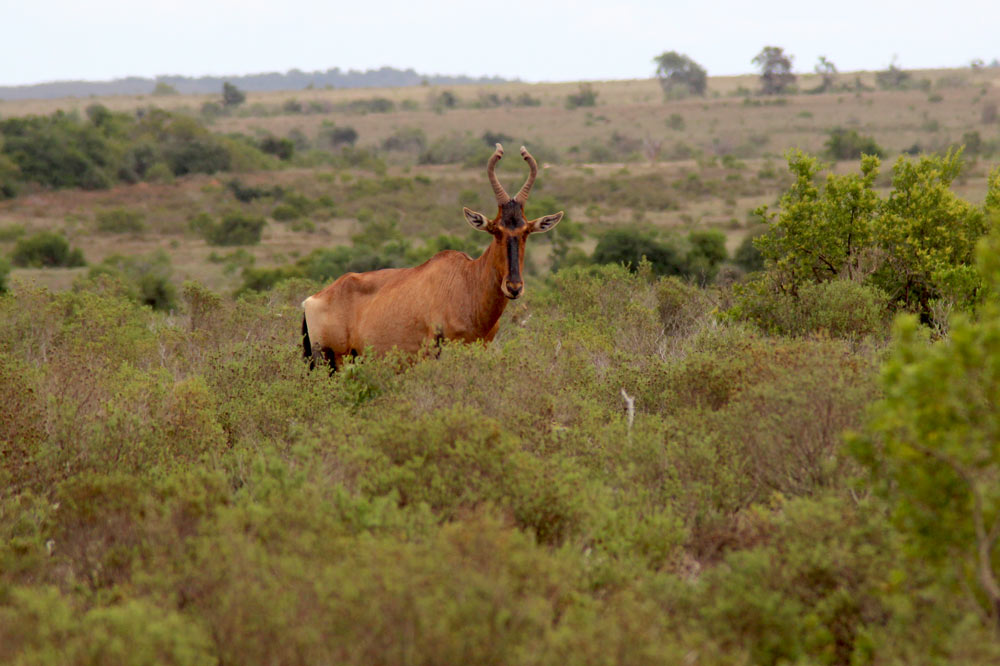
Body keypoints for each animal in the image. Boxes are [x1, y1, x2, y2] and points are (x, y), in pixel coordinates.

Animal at [296, 143, 564, 370]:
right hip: (329, 361)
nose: (514, 287)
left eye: (525, 231)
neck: (466, 281)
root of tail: (312, 300)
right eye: (495, 230)